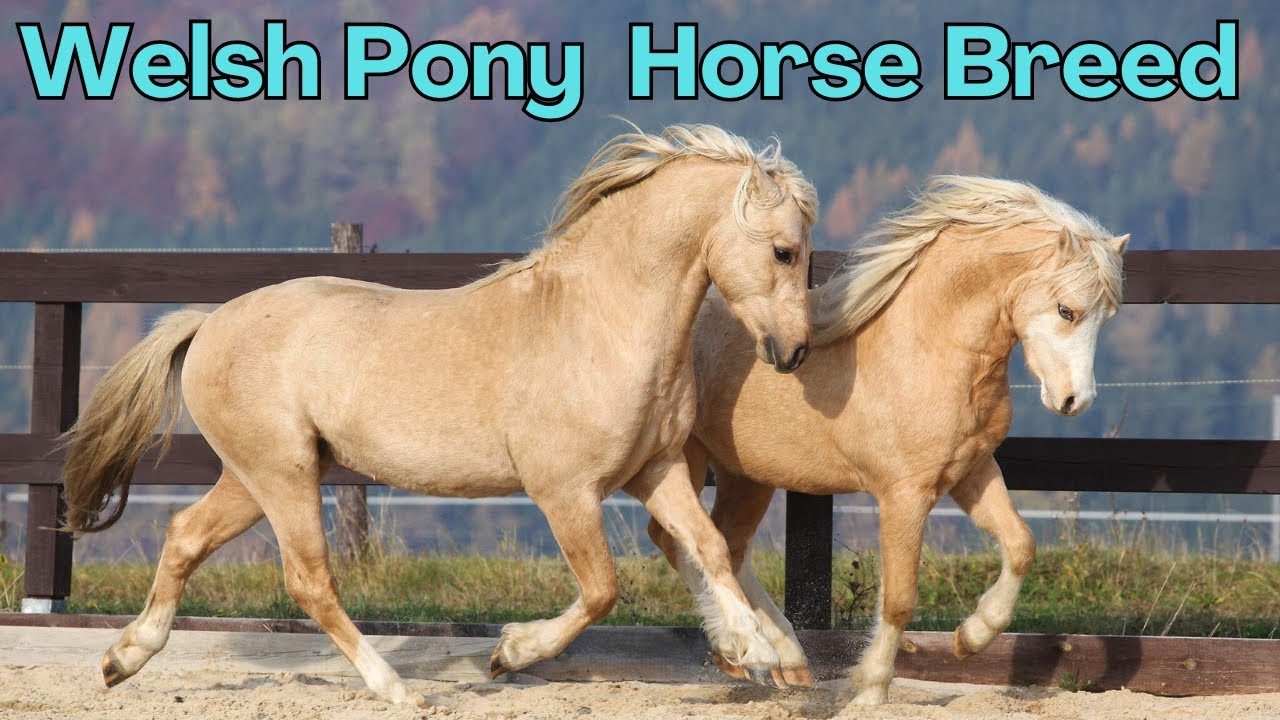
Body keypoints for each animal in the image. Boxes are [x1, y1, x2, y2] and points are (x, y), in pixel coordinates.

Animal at [59, 124, 820, 705]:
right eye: (784, 251)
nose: (793, 352)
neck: (601, 320)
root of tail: (208, 322)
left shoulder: (655, 471)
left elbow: (710, 546)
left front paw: (755, 649)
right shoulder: (565, 493)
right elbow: (604, 589)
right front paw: (509, 653)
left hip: (256, 478)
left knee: (185, 535)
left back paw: (123, 660)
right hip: (282, 476)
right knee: (310, 582)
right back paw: (396, 689)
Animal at [645, 175, 1128, 702]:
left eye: (1107, 317)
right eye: (1067, 310)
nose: (1075, 400)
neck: (928, 347)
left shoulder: (972, 471)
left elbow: (1021, 544)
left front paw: (971, 637)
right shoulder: (904, 495)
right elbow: (897, 599)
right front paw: (870, 687)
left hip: (747, 474)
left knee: (728, 547)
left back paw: (785, 661)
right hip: (685, 459)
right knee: (680, 540)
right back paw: (740, 650)